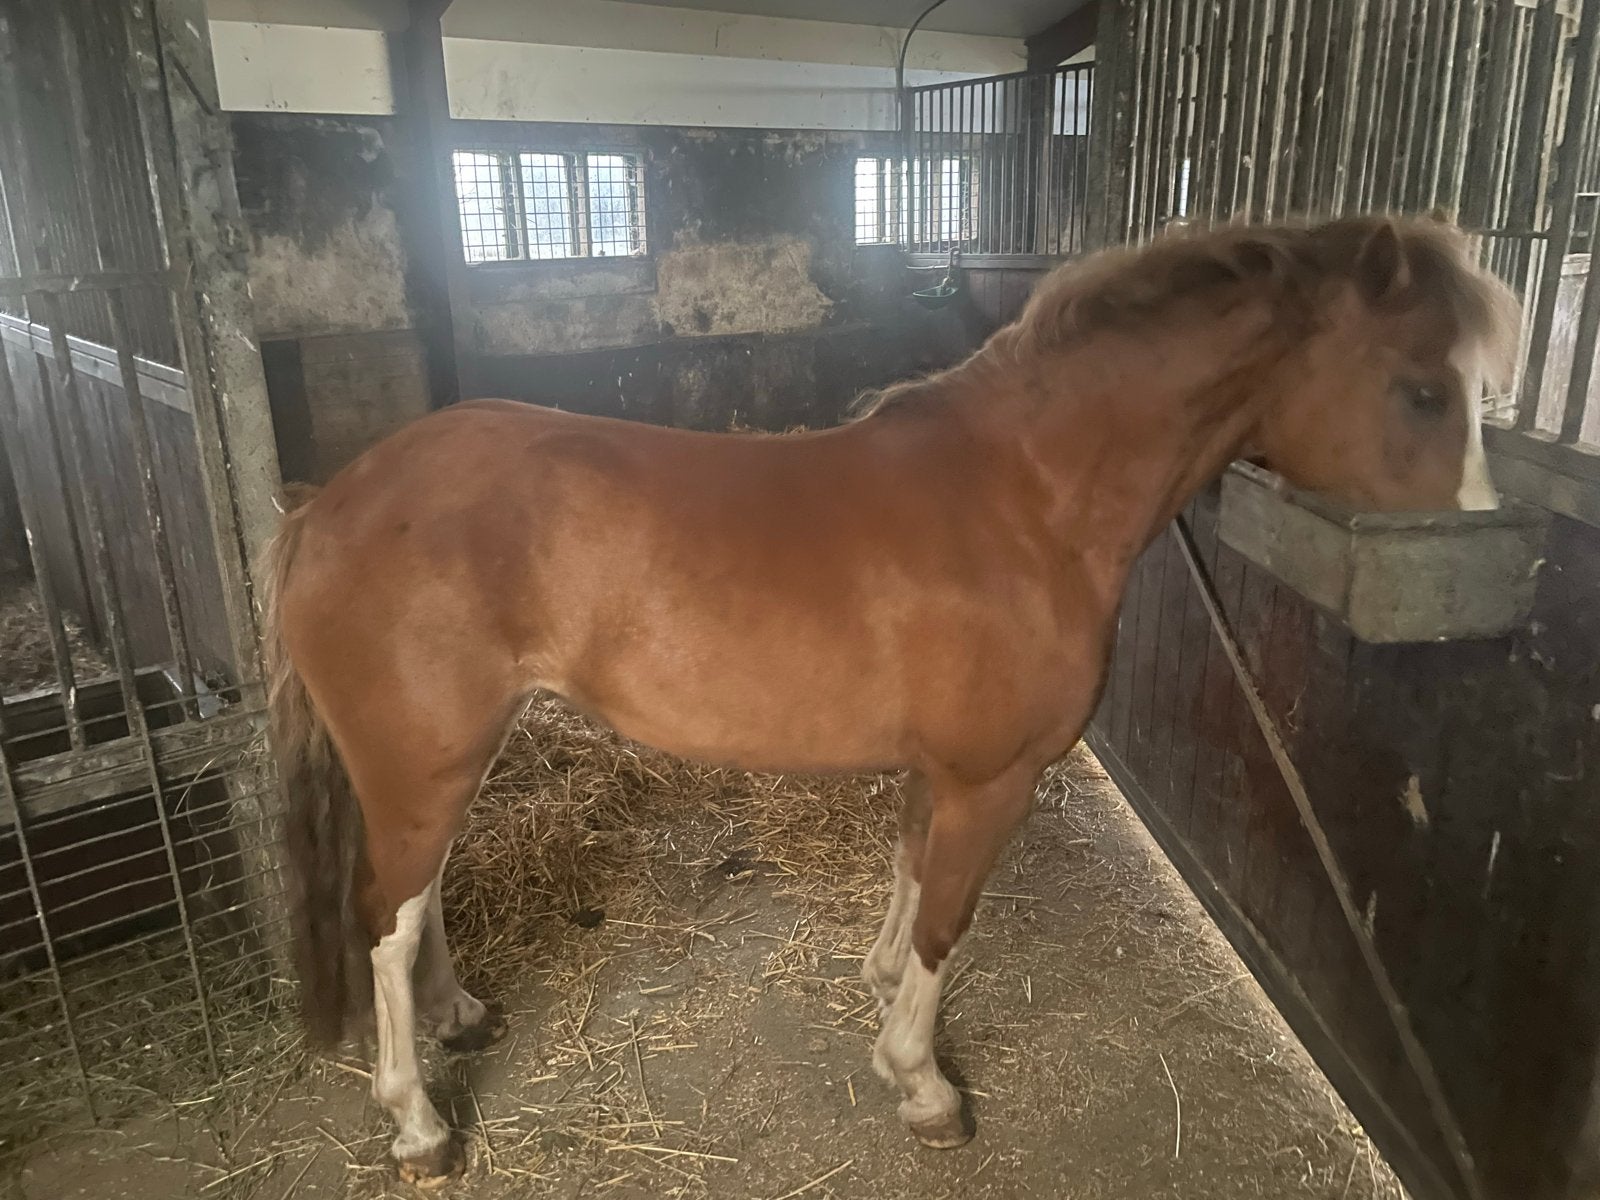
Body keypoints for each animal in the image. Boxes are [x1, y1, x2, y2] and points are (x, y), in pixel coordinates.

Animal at [264, 213, 1518, 1185]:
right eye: (1420, 389)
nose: (1475, 575)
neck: (1025, 500)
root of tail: (328, 507)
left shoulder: (941, 774)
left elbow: (912, 887)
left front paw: (878, 999)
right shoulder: (991, 780)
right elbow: (946, 920)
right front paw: (923, 1086)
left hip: (444, 760)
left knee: (416, 904)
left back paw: (457, 1019)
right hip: (422, 763)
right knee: (385, 920)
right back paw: (417, 1124)